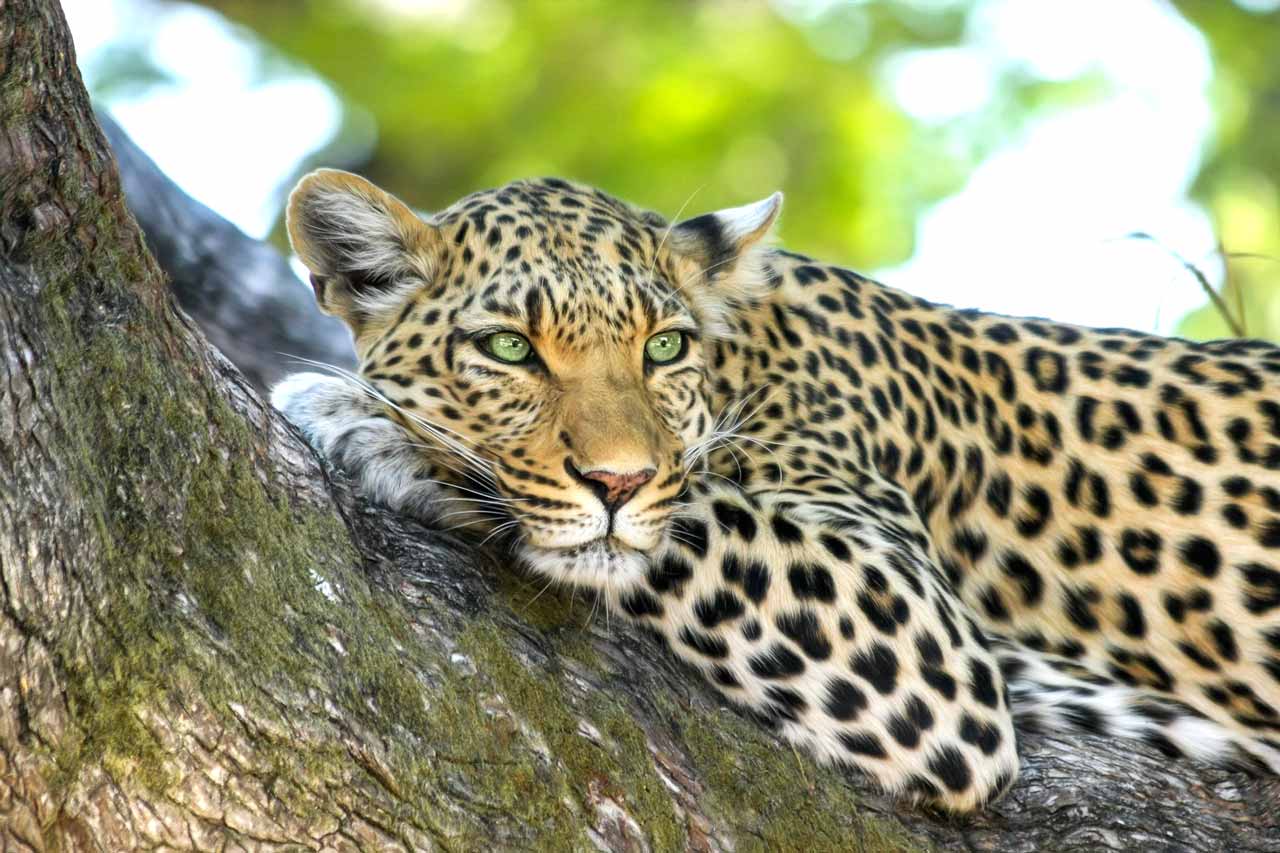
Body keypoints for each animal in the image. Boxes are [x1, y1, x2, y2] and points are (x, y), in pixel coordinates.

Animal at [270, 168, 1280, 812]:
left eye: (663, 347)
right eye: (510, 347)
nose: (617, 479)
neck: (746, 357)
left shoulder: (919, 635)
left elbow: (690, 516)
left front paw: (369, 420)